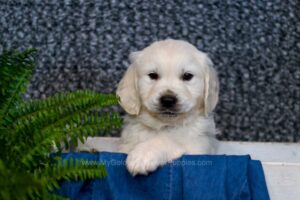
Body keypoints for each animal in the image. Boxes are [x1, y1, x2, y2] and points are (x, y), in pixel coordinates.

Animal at [116, 38, 218, 175]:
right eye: (153, 75)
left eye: (187, 76)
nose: (168, 100)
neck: (164, 126)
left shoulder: (198, 147)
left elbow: (168, 140)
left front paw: (142, 155)